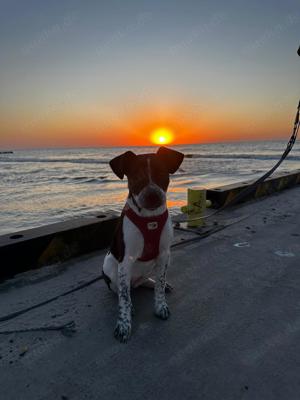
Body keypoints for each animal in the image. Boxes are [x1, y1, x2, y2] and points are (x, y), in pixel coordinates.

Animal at [102, 145, 184, 342]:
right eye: (137, 176)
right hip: (110, 266)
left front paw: (160, 305)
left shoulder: (164, 255)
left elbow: (160, 284)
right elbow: (124, 298)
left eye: (161, 173)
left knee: (144, 282)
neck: (149, 218)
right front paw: (124, 324)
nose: (152, 195)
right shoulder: (125, 261)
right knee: (120, 289)